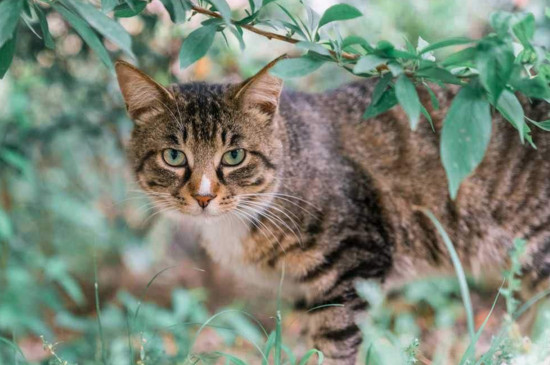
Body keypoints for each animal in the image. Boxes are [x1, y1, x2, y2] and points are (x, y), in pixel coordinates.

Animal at [115, 58, 550, 362]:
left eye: (234, 156)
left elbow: (335, 347)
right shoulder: (305, 291)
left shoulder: (354, 261)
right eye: (173, 156)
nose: (204, 196)